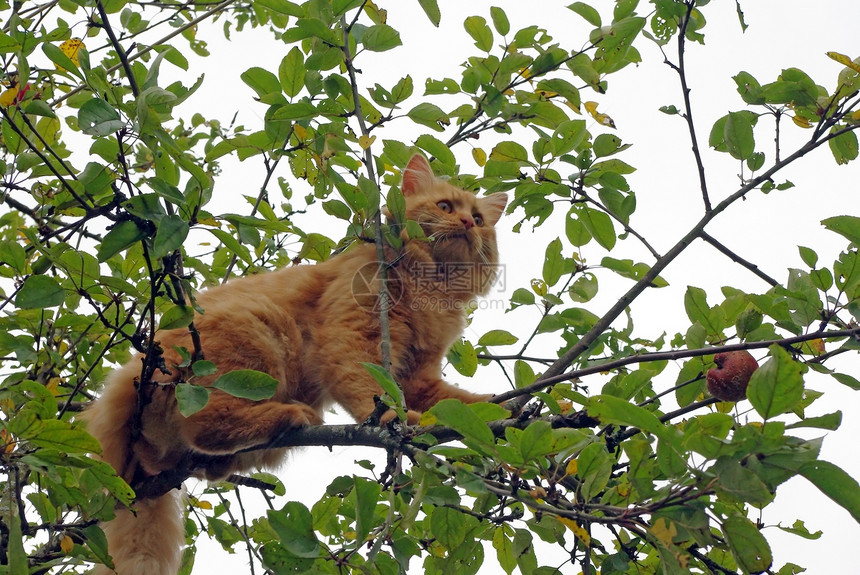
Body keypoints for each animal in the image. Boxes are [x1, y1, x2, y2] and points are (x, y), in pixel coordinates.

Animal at [84, 154, 508, 575]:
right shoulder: (352, 337)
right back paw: (289, 416)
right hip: (256, 338)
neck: (429, 287)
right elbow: (369, 391)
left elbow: (458, 403)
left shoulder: (418, 375)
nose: (467, 223)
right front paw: (392, 422)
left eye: (479, 219)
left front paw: (501, 412)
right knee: (207, 424)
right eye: (446, 207)